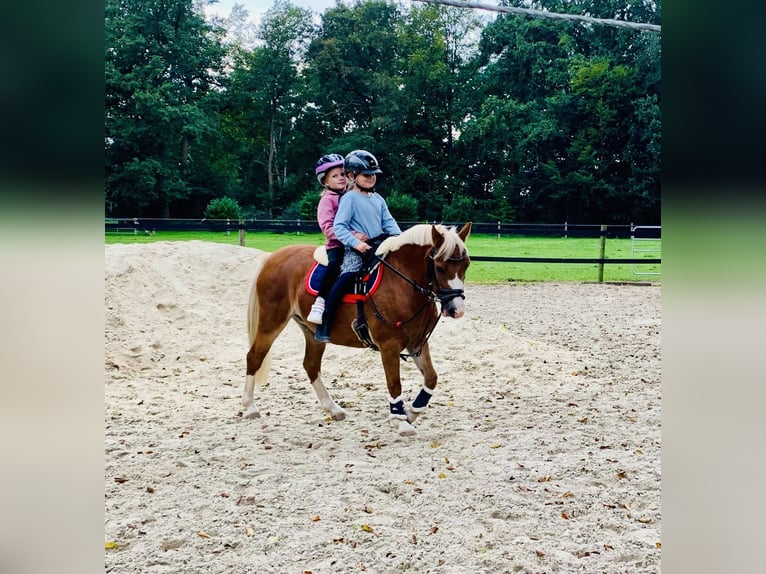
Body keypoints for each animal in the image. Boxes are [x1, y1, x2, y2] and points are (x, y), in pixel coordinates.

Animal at [243, 223, 472, 438]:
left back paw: (333, 409)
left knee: (311, 365)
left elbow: (431, 378)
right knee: (255, 357)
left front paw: (411, 412)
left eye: (466, 265)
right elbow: (394, 383)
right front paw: (400, 421)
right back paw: (250, 407)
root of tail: (274, 257)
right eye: (440, 268)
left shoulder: (417, 342)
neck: (401, 283)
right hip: (271, 322)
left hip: (312, 333)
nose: (457, 309)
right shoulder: (389, 345)